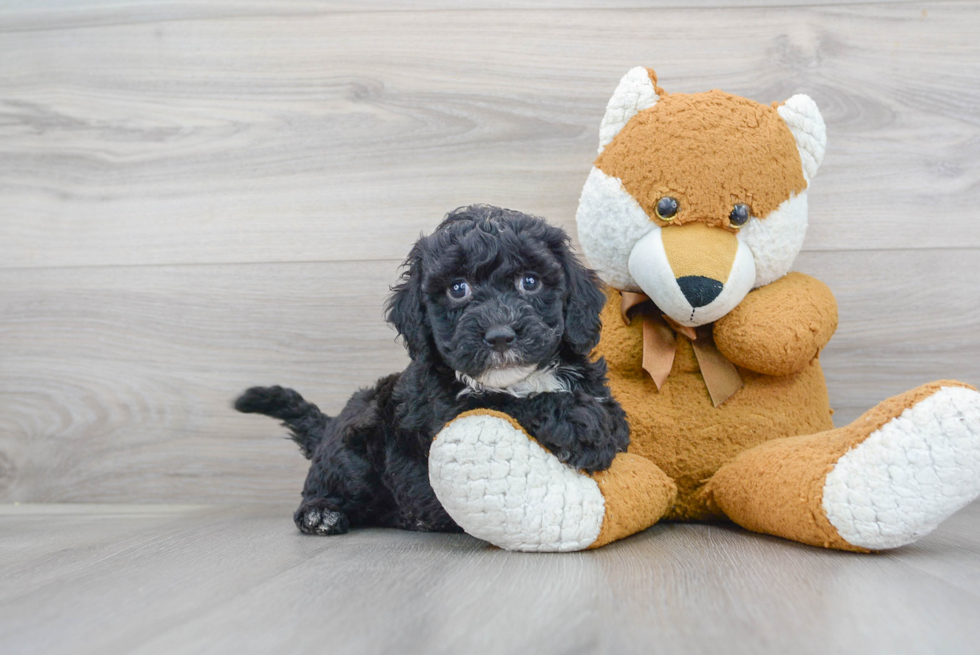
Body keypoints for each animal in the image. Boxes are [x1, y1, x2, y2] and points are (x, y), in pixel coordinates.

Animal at [237, 206, 628, 540]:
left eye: (530, 282)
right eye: (458, 289)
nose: (500, 335)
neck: (522, 378)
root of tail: (330, 425)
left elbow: (613, 416)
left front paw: (604, 426)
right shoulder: (448, 414)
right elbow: (508, 405)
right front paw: (579, 424)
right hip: (355, 449)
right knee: (324, 483)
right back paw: (320, 512)